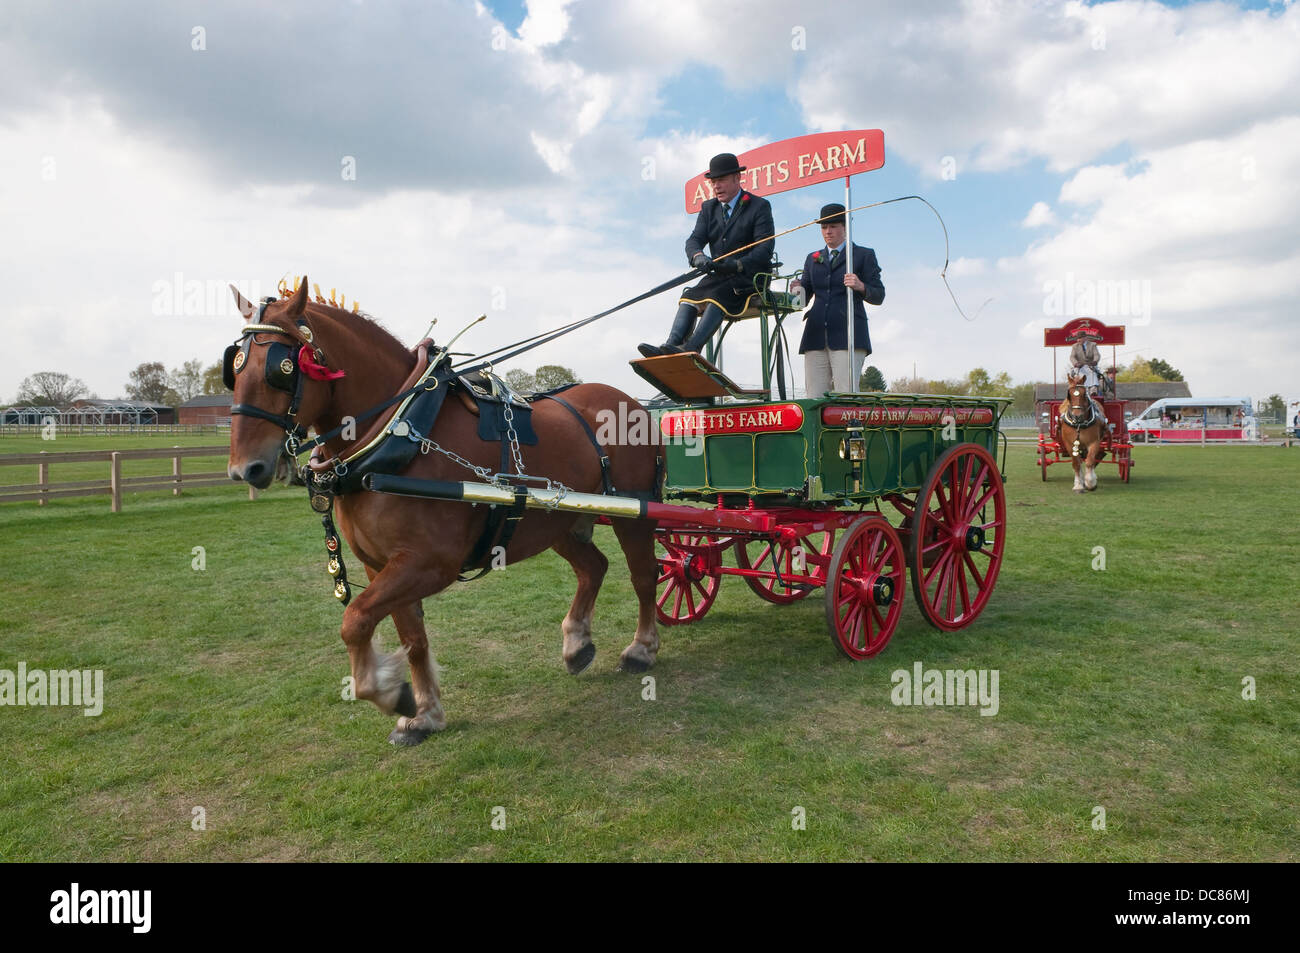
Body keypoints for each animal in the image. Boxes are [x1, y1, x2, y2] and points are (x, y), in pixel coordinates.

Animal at [222, 278, 660, 738]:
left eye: (282, 369)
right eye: (234, 368)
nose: (244, 469)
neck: (399, 429)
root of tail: (629, 400)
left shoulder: (432, 563)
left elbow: (355, 620)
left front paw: (387, 692)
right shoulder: (381, 565)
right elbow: (411, 638)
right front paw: (424, 714)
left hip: (636, 513)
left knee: (644, 576)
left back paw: (642, 648)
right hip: (557, 521)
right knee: (593, 567)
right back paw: (577, 644)